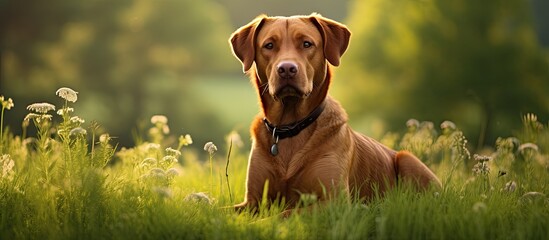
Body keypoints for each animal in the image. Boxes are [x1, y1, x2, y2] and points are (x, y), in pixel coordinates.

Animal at [228, 13, 440, 212]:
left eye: (307, 44)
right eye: (269, 45)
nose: (287, 69)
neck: (290, 126)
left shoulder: (335, 200)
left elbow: (284, 214)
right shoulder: (252, 201)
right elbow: (227, 211)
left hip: (407, 159)